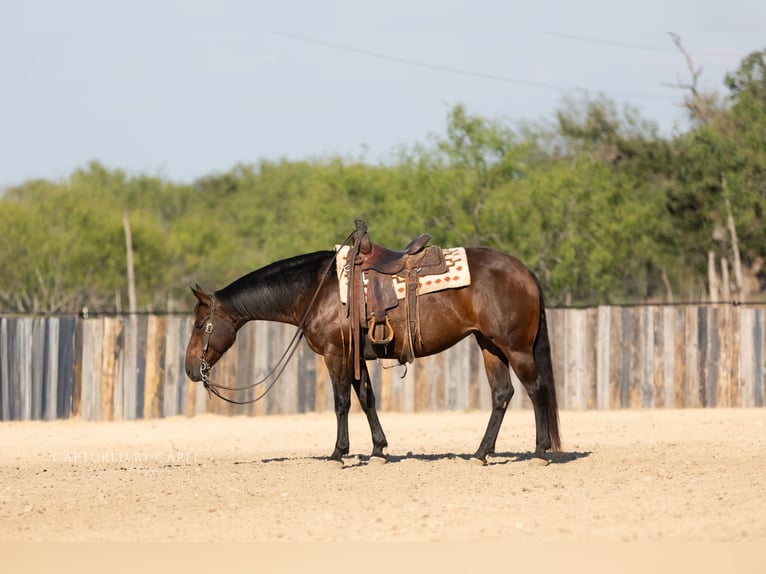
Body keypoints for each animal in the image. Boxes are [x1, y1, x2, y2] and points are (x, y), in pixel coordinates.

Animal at [184, 244, 561, 465]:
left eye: (201, 324)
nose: (190, 369)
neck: (318, 288)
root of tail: (525, 272)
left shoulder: (335, 354)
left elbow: (341, 403)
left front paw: (339, 453)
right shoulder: (357, 358)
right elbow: (366, 399)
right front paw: (378, 449)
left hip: (515, 347)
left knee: (536, 390)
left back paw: (540, 452)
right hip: (490, 346)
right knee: (502, 394)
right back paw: (481, 453)